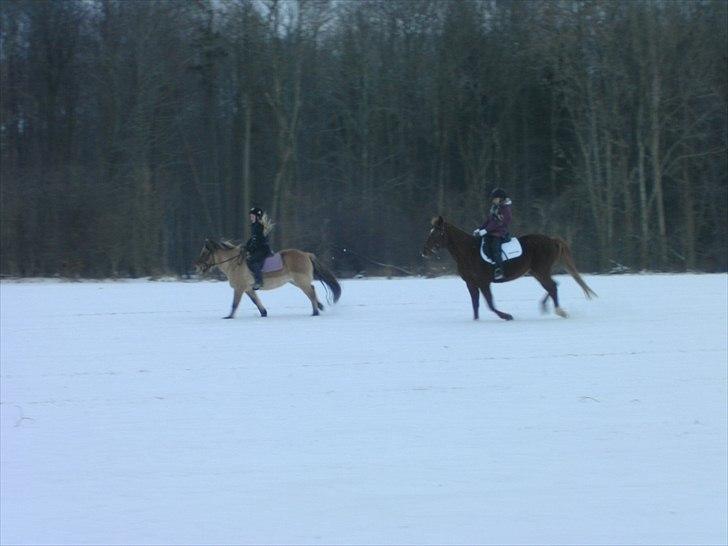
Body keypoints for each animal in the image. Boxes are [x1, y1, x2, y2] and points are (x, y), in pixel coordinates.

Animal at [193, 239, 342, 318]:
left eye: (205, 252)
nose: (197, 266)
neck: (234, 263)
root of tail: (306, 254)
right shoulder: (248, 288)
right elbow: (256, 301)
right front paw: (264, 313)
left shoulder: (239, 288)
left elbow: (235, 303)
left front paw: (229, 317)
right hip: (295, 281)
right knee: (312, 290)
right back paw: (319, 307)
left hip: (301, 281)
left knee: (310, 292)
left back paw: (315, 312)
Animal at [420, 215, 596, 318]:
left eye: (436, 233)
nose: (424, 252)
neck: (469, 251)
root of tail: (551, 240)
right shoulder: (471, 283)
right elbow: (476, 305)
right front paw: (476, 320)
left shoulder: (483, 282)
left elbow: (490, 304)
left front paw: (507, 316)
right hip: (537, 272)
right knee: (553, 286)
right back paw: (546, 307)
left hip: (541, 270)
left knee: (552, 286)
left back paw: (559, 311)